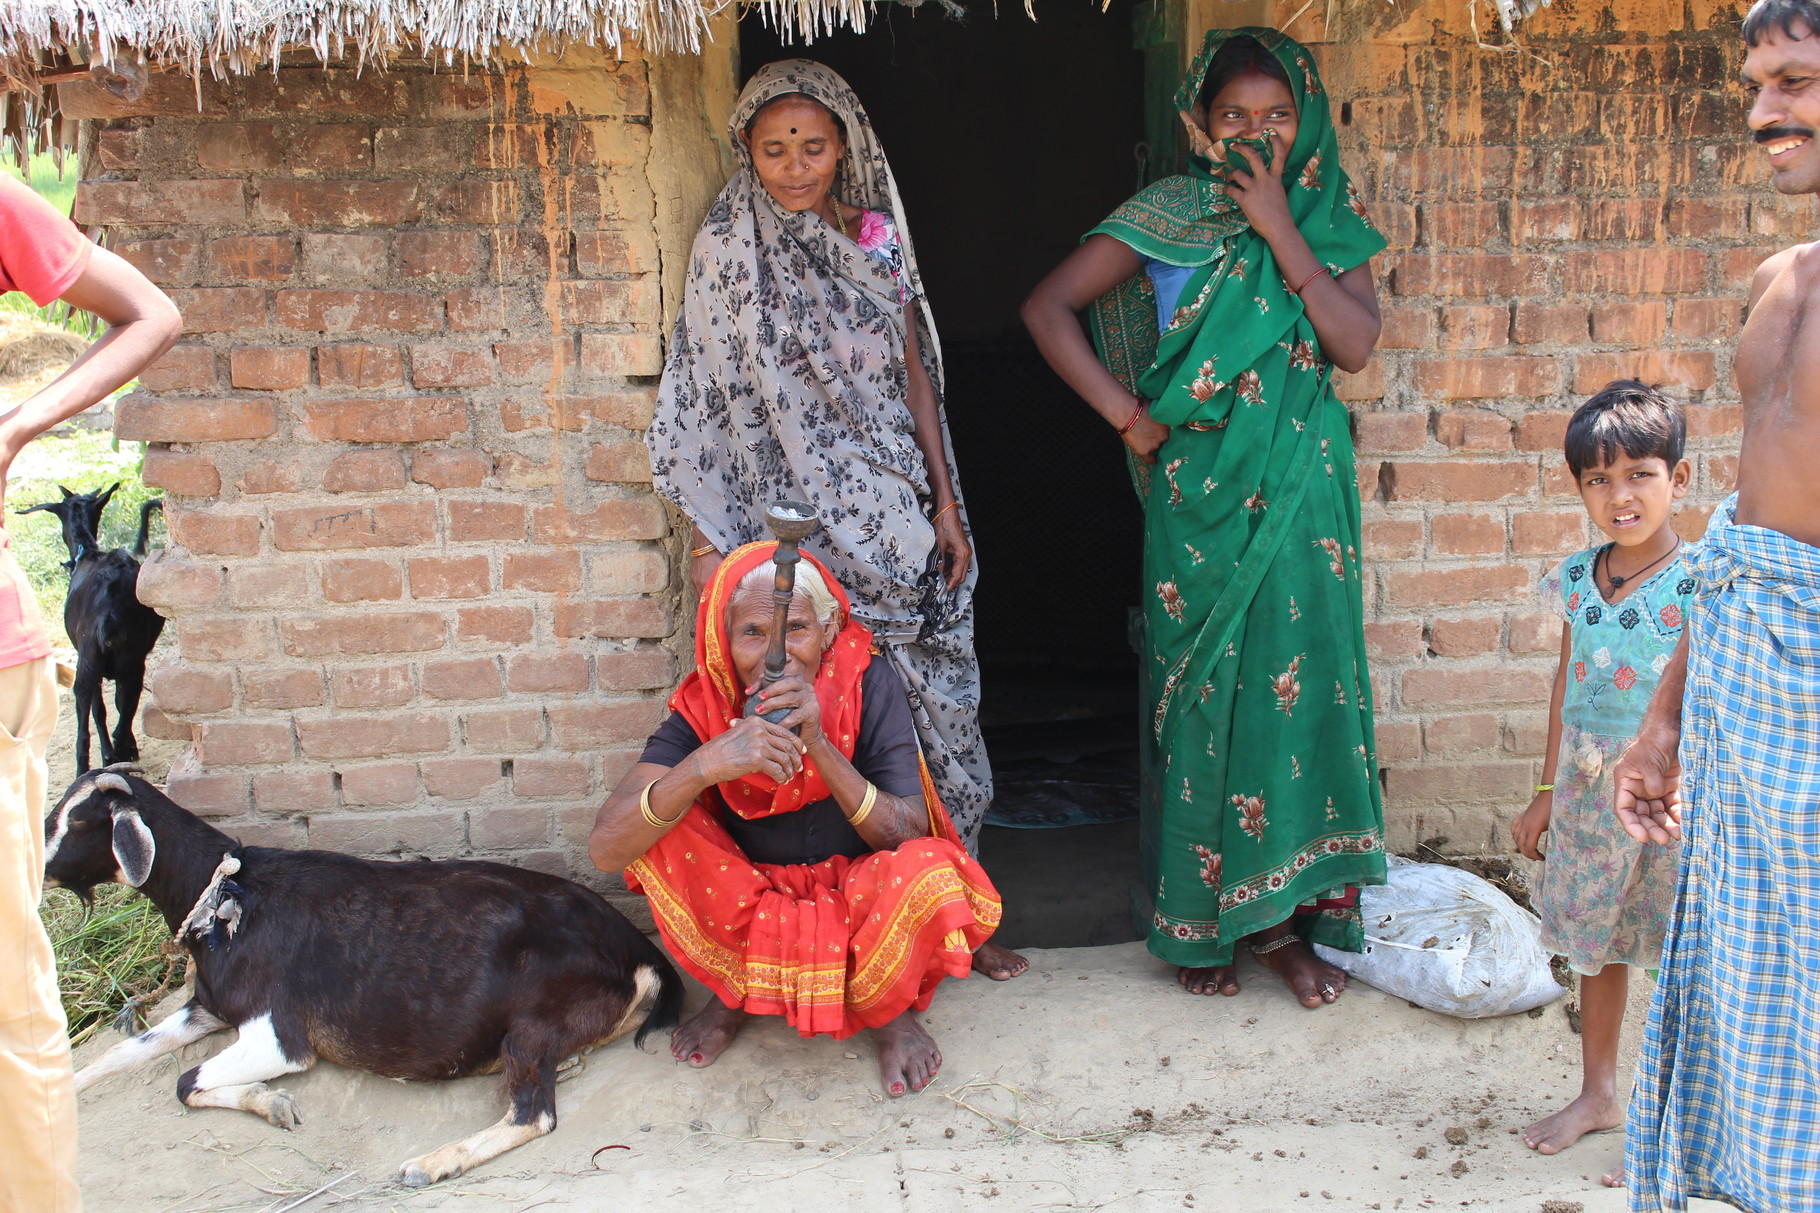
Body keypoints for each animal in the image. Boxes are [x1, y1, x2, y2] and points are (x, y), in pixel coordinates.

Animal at [16, 480, 164, 768]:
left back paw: (96, 764)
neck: (88, 553)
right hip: (131, 664)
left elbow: (100, 709)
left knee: (88, 727)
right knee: (121, 716)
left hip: (91, 664)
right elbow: (113, 706)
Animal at [51, 768, 687, 1187]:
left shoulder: (278, 1035)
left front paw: (272, 1102)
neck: (228, 894)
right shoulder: (204, 1006)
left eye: (76, 820)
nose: (42, 865)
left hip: (532, 1024)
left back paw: (431, 1163)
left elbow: (186, 1081)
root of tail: (636, 947)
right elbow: (121, 1054)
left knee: (535, 1114)